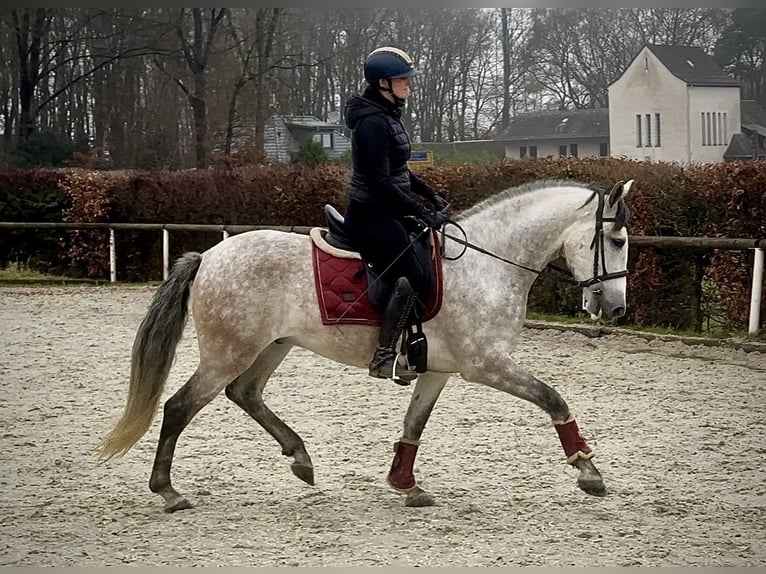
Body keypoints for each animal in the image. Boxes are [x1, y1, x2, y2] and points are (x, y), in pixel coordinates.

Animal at [100, 178, 633, 513]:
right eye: (617, 240)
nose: (615, 309)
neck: (487, 263)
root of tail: (209, 256)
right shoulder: (487, 364)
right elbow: (553, 398)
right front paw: (588, 470)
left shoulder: (438, 370)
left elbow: (414, 424)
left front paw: (406, 484)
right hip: (228, 351)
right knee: (179, 407)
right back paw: (169, 492)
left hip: (271, 345)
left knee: (245, 393)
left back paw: (300, 459)